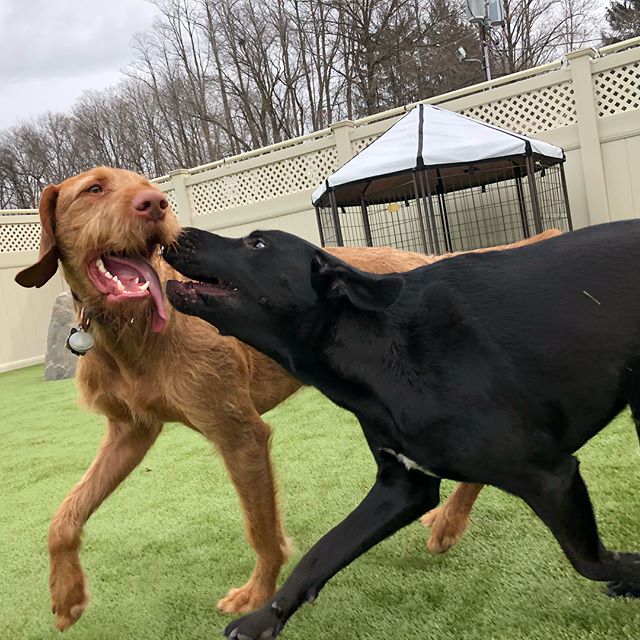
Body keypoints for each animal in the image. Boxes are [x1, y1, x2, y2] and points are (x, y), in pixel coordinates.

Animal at [15, 166, 560, 632]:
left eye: (149, 187)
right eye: (93, 189)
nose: (156, 205)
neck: (132, 333)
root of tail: (427, 260)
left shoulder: (240, 433)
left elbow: (260, 528)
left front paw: (257, 595)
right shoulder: (131, 432)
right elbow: (64, 516)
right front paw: (66, 597)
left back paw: (450, 521)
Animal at [166, 221, 640, 640]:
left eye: (258, 243)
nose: (176, 232)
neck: (376, 346)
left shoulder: (551, 477)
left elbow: (589, 561)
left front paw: (633, 574)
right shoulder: (403, 486)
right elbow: (323, 551)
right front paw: (263, 619)